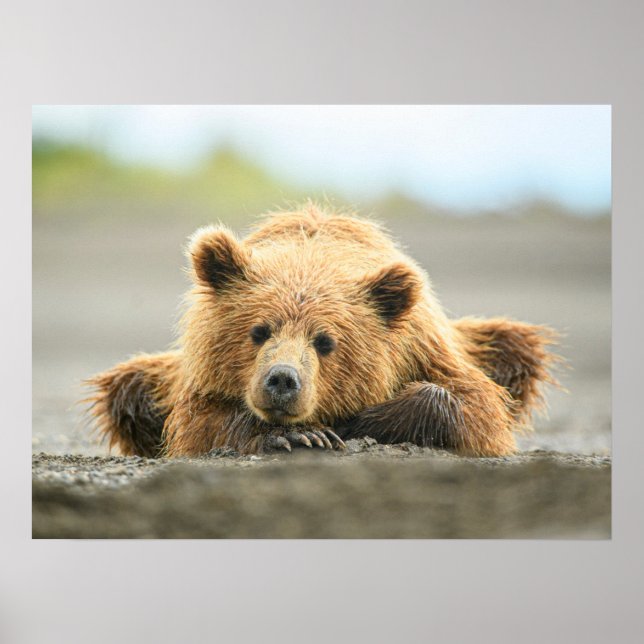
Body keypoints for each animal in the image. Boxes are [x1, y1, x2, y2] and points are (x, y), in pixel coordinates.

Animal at [85, 203, 559, 458]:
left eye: (326, 341)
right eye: (259, 330)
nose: (282, 379)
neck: (312, 256)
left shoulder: (425, 348)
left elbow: (475, 407)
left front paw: (354, 422)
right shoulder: (197, 379)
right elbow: (198, 424)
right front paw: (301, 434)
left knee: (517, 348)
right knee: (128, 388)